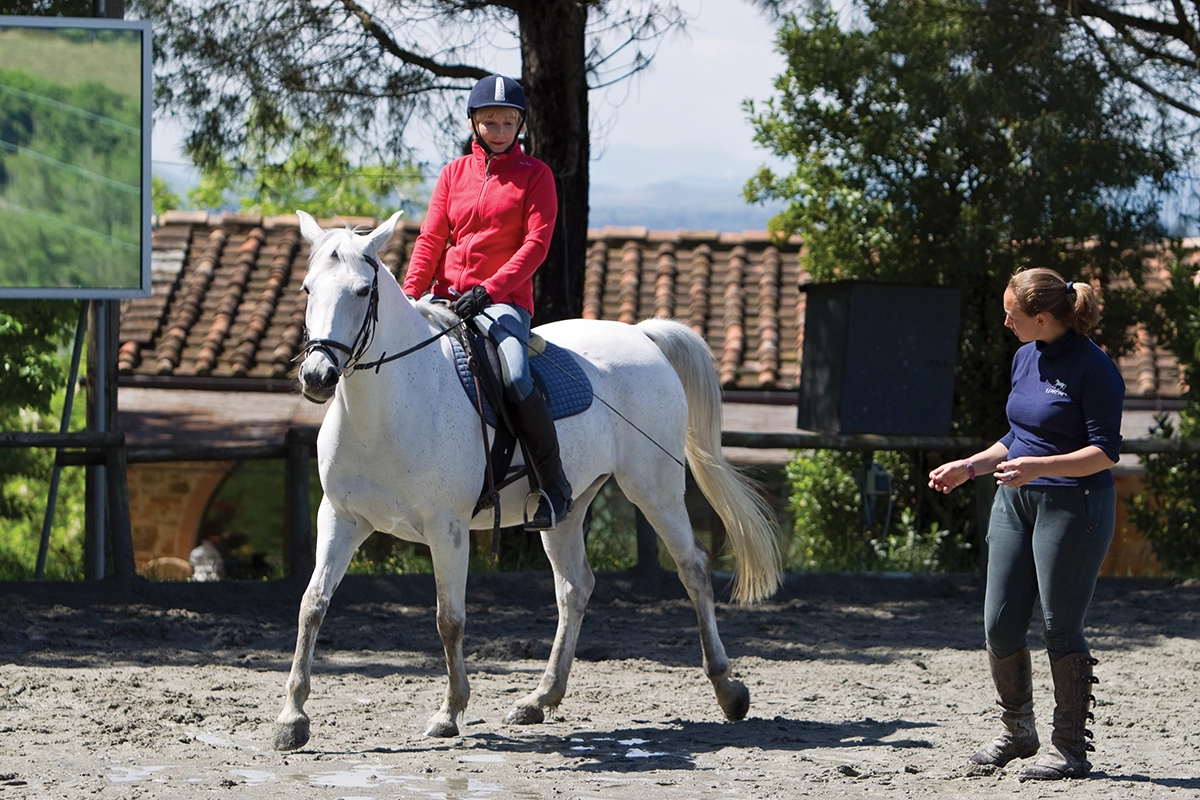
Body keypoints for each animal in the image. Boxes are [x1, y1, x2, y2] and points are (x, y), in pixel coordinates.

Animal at [273, 210, 782, 750]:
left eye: (362, 290)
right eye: (307, 288)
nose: (318, 376)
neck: (388, 408)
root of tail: (642, 336)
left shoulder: (447, 529)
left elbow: (448, 619)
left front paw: (450, 712)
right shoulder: (340, 517)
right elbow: (311, 605)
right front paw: (292, 718)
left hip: (656, 489)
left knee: (694, 569)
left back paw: (728, 690)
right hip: (567, 507)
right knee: (575, 587)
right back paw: (540, 698)